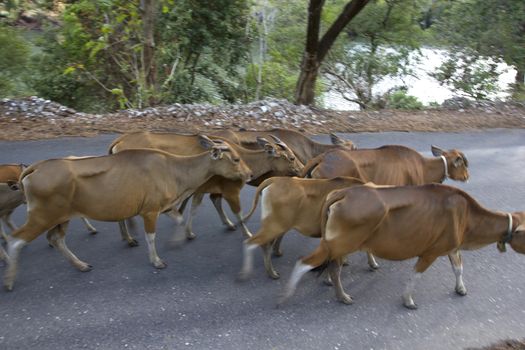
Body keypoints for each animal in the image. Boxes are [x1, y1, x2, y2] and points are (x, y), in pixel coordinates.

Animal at [2, 135, 252, 292]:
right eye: (236, 159)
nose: (249, 174)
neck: (174, 170)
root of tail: (34, 167)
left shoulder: (165, 206)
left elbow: (180, 220)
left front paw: (179, 240)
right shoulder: (150, 211)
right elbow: (151, 237)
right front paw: (156, 261)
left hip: (61, 217)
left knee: (55, 239)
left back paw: (81, 265)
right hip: (43, 216)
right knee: (16, 240)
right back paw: (9, 281)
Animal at [108, 130, 300, 239]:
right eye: (291, 157)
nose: (301, 168)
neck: (244, 158)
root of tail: (118, 141)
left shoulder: (202, 189)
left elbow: (197, 206)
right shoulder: (227, 189)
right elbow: (233, 211)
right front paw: (245, 232)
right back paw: (129, 236)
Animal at [280, 183, 524, 308]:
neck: (467, 214)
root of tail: (344, 191)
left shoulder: (452, 246)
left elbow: (458, 268)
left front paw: (461, 288)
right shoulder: (431, 252)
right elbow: (415, 275)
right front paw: (408, 299)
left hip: (340, 245)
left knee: (333, 268)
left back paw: (340, 294)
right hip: (339, 243)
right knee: (307, 262)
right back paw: (289, 294)